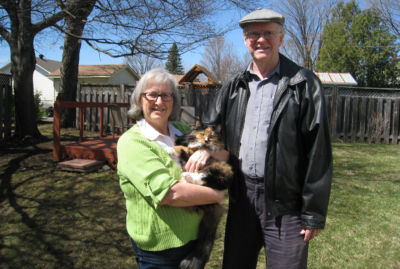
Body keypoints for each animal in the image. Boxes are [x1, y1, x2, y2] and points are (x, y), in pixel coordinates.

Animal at [168, 120, 231, 268]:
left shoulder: (196, 155)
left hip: (218, 170)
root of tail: (214, 205)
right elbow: (182, 147)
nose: (207, 141)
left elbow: (182, 148)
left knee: (203, 179)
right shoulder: (190, 152)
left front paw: (169, 149)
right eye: (202, 134)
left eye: (212, 136)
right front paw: (172, 147)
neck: (200, 146)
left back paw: (186, 176)